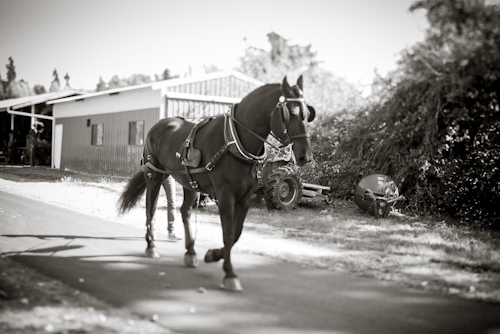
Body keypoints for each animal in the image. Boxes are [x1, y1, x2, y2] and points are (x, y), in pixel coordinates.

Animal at [117, 74, 314, 290]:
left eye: (307, 114)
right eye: (291, 113)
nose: (305, 156)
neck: (236, 141)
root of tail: (158, 125)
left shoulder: (244, 197)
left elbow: (236, 233)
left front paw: (213, 255)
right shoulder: (225, 195)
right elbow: (227, 233)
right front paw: (229, 273)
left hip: (190, 184)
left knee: (185, 211)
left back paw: (190, 252)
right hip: (154, 176)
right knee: (150, 210)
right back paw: (151, 246)